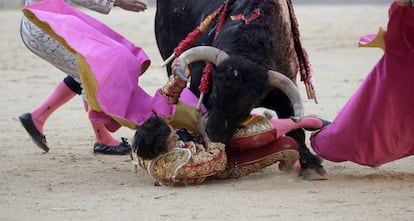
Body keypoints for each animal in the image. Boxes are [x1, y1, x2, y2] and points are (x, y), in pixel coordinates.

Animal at [154, 0, 326, 177]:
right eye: (215, 95)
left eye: (247, 106)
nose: (215, 133)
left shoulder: (284, 94)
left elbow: (295, 128)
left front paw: (311, 165)